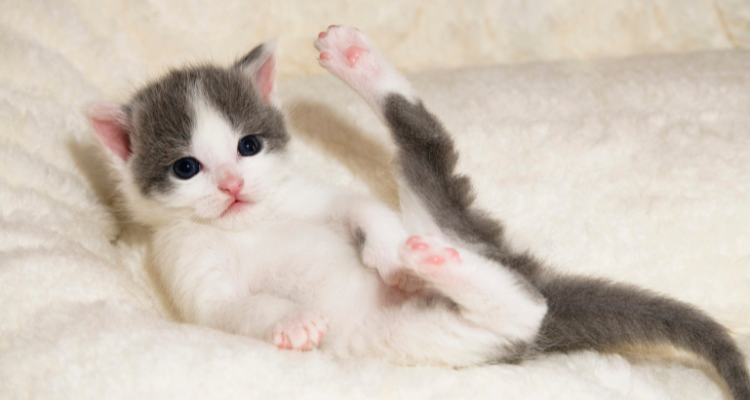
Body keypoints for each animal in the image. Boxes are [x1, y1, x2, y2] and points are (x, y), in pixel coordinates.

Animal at [89, 26, 750, 398]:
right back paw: (437, 262)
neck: (245, 225)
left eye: (247, 146)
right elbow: (231, 308)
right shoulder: (189, 272)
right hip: (442, 338)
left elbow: (360, 204)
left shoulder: (311, 194)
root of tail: (523, 267)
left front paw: (384, 251)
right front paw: (293, 323)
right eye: (187, 167)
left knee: (427, 152)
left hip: (444, 225)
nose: (230, 185)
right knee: (516, 308)